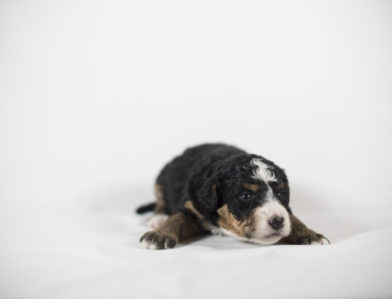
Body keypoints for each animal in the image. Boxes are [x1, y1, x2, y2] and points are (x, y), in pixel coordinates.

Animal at [136, 144, 330, 250]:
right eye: (245, 195)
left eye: (282, 193)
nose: (277, 221)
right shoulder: (191, 206)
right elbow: (177, 218)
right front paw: (159, 235)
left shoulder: (285, 209)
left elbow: (292, 217)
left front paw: (311, 234)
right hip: (162, 177)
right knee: (161, 200)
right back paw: (159, 217)